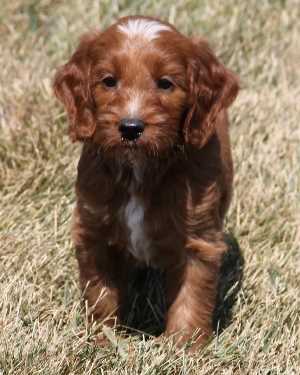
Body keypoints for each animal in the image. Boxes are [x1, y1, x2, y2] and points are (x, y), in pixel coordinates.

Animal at [52, 15, 238, 350]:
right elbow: (100, 293)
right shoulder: (94, 230)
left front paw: (184, 347)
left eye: (165, 83)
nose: (130, 127)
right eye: (108, 81)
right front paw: (101, 340)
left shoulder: (199, 238)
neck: (139, 168)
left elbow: (191, 297)